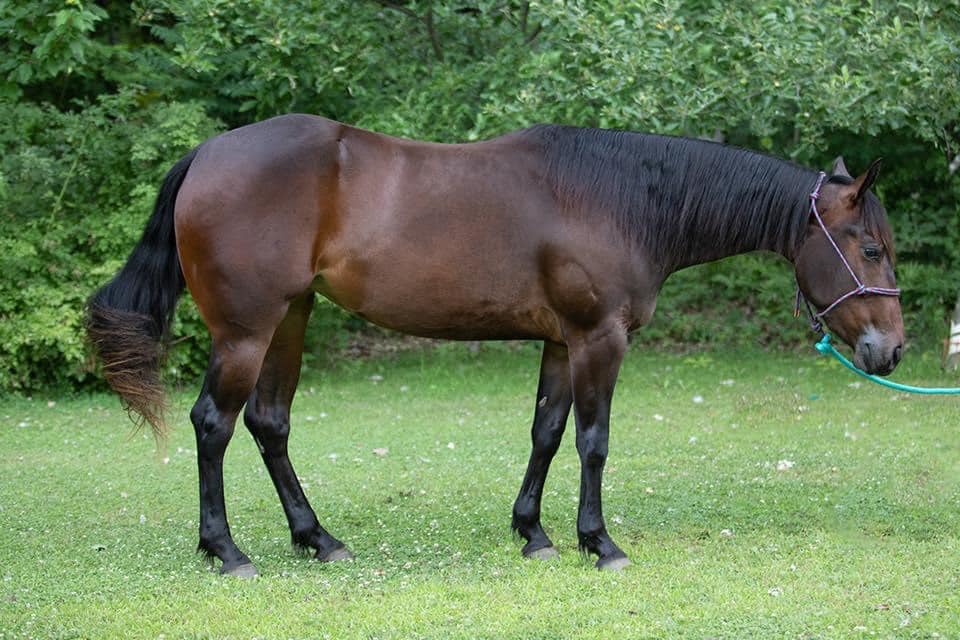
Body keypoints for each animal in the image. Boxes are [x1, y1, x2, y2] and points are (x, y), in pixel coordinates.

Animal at [87, 115, 904, 575]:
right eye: (869, 249)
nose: (891, 352)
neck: (621, 199)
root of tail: (208, 155)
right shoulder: (599, 339)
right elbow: (594, 440)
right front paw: (599, 543)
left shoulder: (561, 342)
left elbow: (547, 432)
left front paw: (533, 533)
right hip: (247, 331)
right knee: (214, 425)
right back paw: (226, 551)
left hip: (290, 319)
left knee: (269, 424)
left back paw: (317, 539)